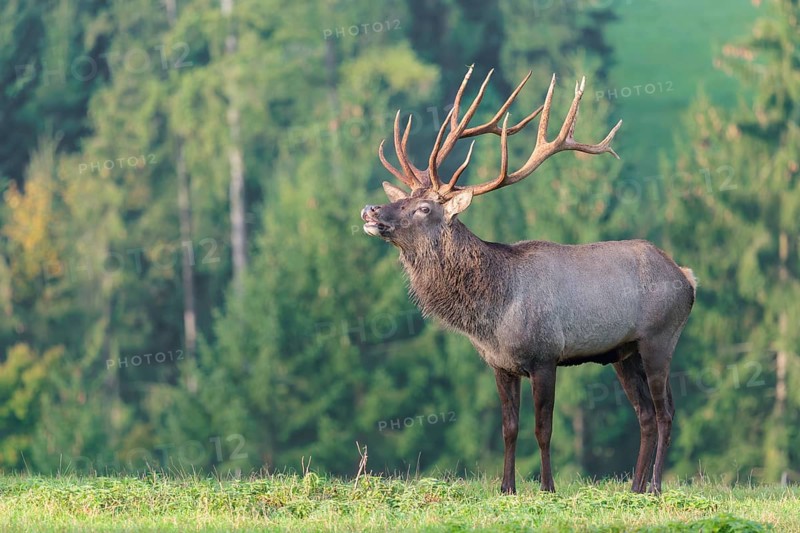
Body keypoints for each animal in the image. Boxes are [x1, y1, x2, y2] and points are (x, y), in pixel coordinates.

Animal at [360, 65, 695, 495]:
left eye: (423, 208)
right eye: (399, 198)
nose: (371, 210)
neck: (493, 316)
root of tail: (687, 277)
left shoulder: (545, 356)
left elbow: (543, 429)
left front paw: (548, 487)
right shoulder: (500, 365)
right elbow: (509, 428)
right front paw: (506, 488)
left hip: (660, 338)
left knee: (666, 410)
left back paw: (653, 485)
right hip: (624, 353)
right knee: (645, 415)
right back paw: (635, 487)